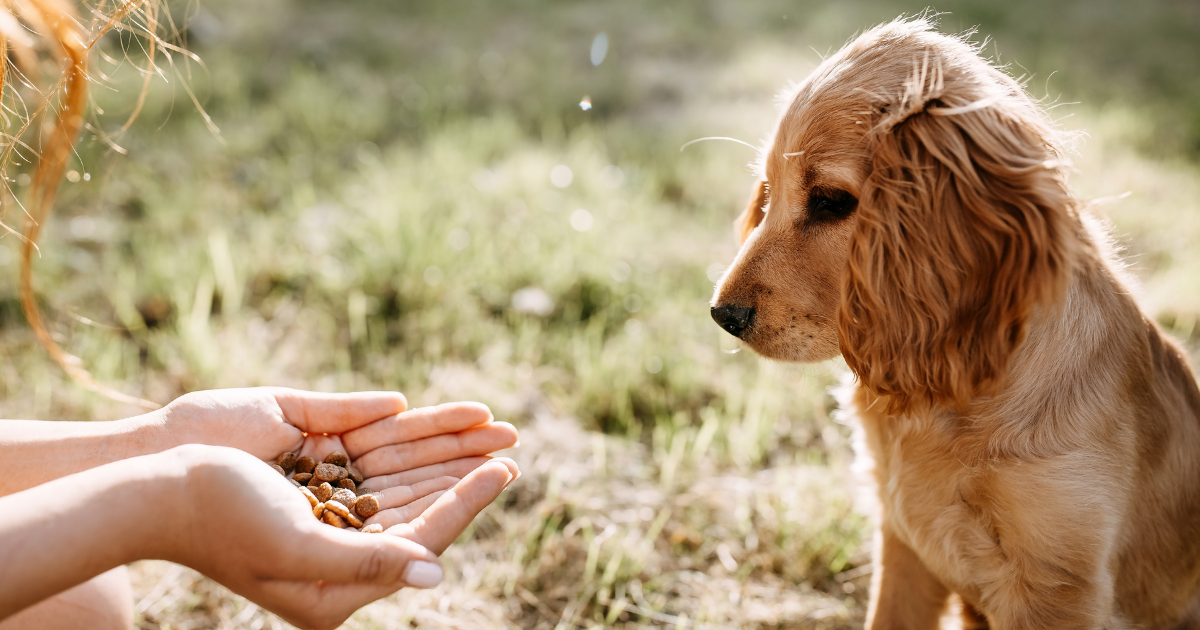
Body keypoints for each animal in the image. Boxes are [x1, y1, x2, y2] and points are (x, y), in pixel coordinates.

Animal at [705, 14, 1200, 628]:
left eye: (831, 201)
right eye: (769, 191)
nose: (722, 315)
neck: (948, 398)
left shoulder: (1056, 582)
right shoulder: (902, 537)